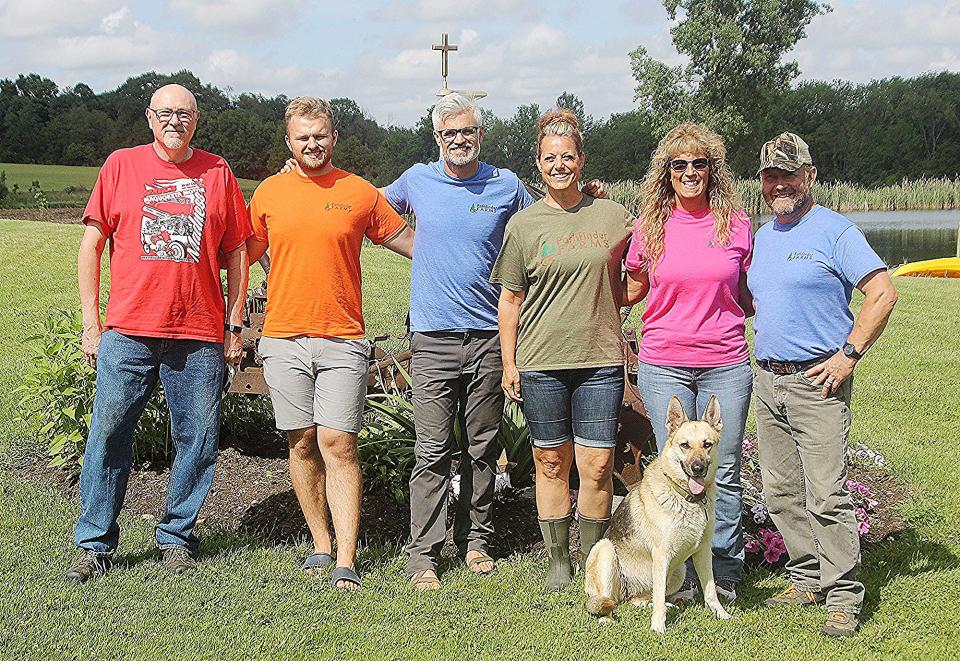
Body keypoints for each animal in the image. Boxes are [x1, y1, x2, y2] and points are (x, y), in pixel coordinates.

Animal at [580, 394, 732, 632]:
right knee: (606, 601)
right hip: (605, 550)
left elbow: (710, 590)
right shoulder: (661, 555)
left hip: (679, 570)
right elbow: (659, 596)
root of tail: (626, 593)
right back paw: (608, 618)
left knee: (639, 600)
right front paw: (658, 626)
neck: (685, 496)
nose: (697, 468)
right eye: (685, 445)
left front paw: (720, 614)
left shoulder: (703, 551)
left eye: (707, 445)